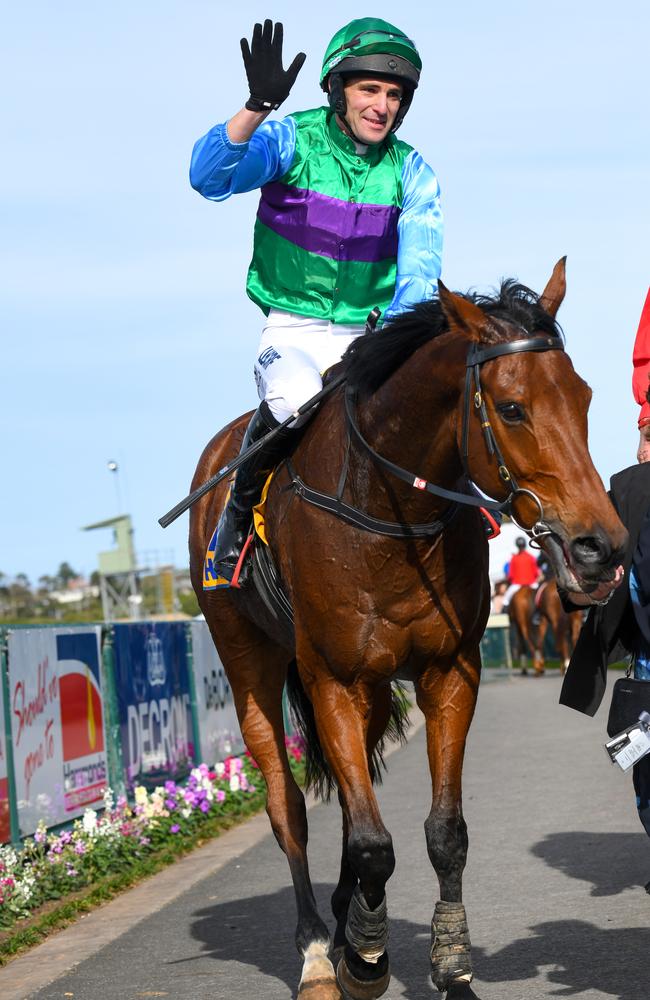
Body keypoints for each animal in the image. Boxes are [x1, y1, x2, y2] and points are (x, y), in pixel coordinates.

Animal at [186, 264, 624, 1000]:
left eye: (585, 397)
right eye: (512, 408)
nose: (601, 548)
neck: (386, 518)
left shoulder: (449, 671)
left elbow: (442, 832)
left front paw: (449, 966)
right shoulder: (330, 676)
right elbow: (369, 841)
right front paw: (365, 958)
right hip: (248, 657)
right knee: (288, 805)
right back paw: (318, 950)